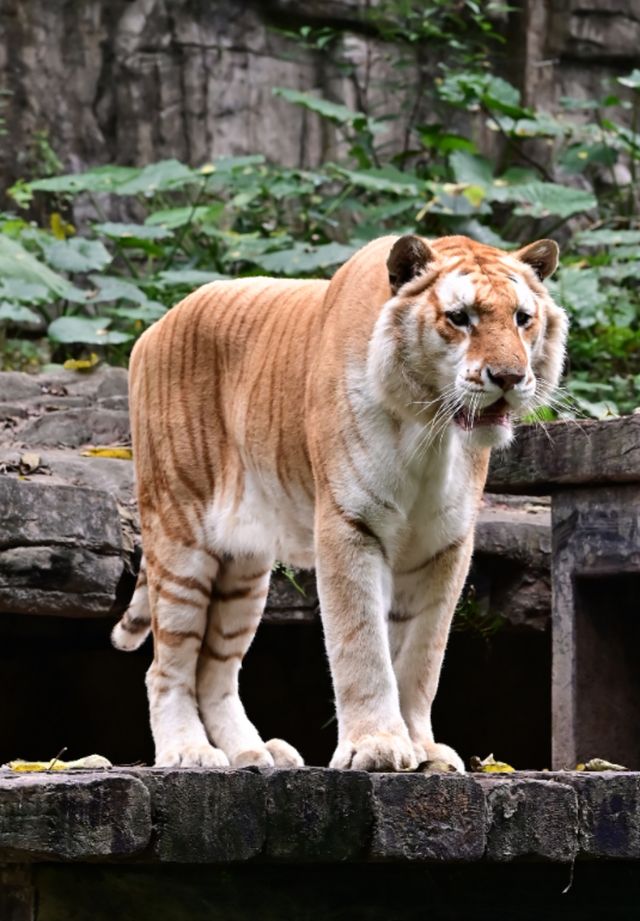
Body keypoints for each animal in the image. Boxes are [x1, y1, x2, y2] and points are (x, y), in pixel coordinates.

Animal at [112, 234, 568, 772]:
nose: (509, 377)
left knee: (215, 671)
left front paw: (423, 748)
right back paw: (189, 752)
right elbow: (362, 645)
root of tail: (156, 326)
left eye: (522, 318)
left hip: (243, 568)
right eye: (460, 317)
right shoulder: (350, 525)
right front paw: (376, 745)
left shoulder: (444, 546)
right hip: (181, 532)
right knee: (168, 665)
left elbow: (421, 657)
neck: (430, 431)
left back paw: (253, 752)